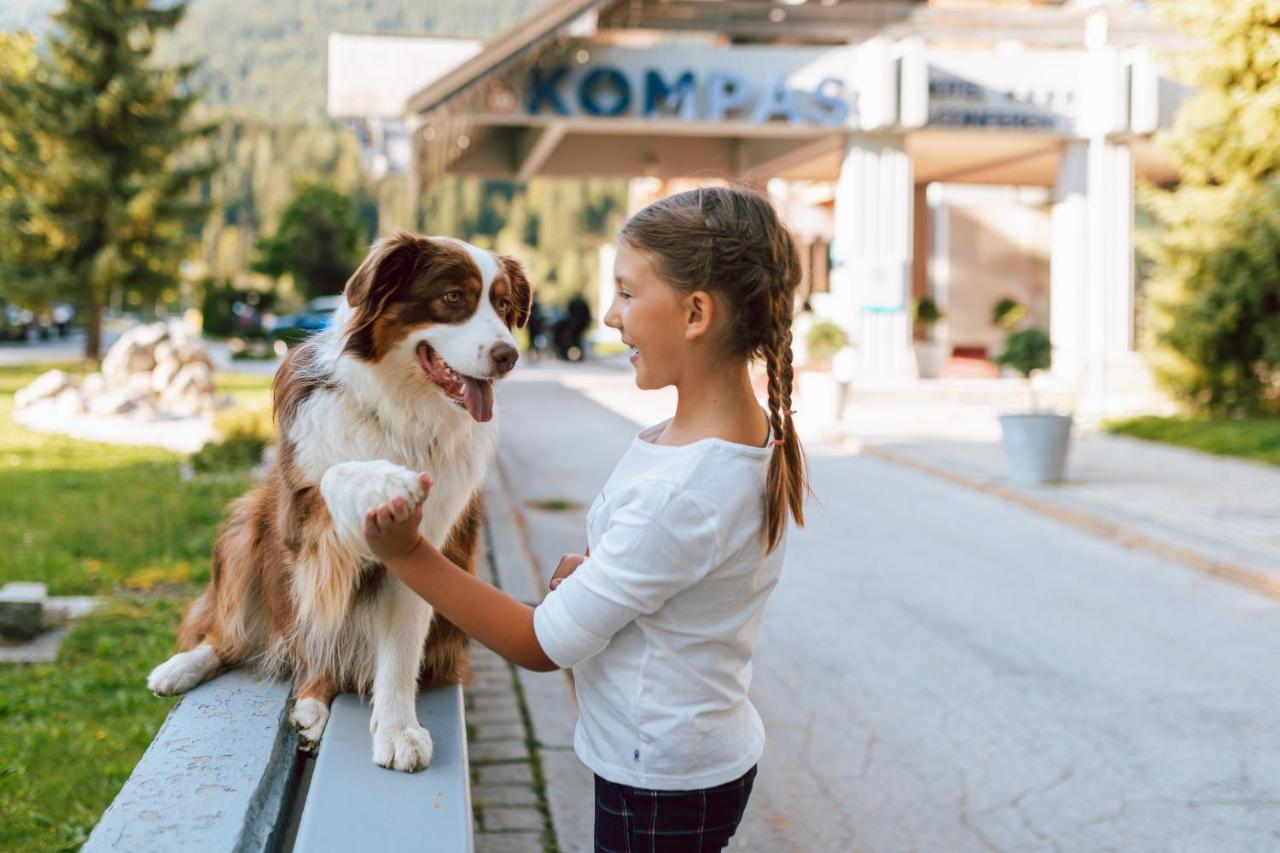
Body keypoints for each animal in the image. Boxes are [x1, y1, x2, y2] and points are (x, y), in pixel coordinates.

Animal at [146, 230, 529, 768]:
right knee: (232, 636)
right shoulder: (299, 522)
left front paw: (396, 728)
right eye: (454, 298)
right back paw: (191, 668)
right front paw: (386, 479)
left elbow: (400, 648)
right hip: (247, 524)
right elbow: (337, 471)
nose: (508, 356)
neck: (400, 412)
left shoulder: (425, 552)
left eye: (504, 306)